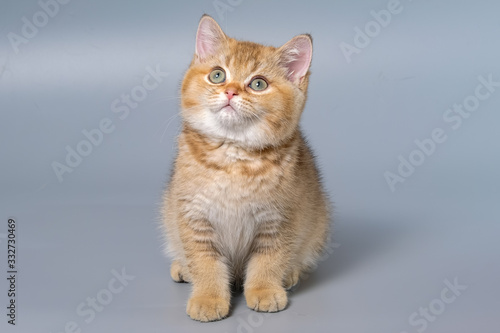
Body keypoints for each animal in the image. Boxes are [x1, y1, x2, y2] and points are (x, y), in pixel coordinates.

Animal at [162, 14, 330, 320]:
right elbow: (204, 262)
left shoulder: (279, 219)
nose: (230, 91)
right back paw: (183, 268)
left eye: (258, 84)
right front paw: (207, 297)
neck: (233, 157)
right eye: (217, 75)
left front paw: (264, 290)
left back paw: (290, 274)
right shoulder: (193, 216)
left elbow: (269, 260)